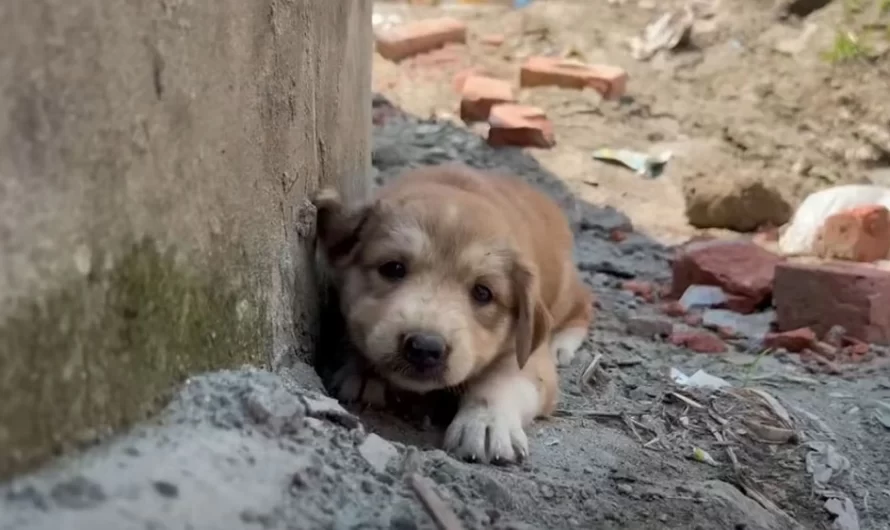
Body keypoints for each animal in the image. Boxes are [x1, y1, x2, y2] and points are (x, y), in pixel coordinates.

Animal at [312, 162, 588, 462]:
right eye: (393, 268)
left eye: (483, 292)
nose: (424, 347)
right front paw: (364, 373)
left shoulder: (527, 353)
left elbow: (503, 380)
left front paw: (486, 423)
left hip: (563, 291)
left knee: (585, 302)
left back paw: (562, 344)